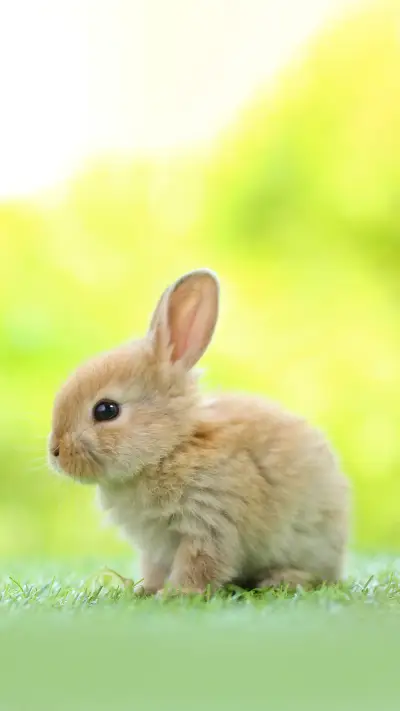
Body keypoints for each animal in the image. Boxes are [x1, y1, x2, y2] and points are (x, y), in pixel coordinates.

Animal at [49, 269, 349, 595]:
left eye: (106, 410)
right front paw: (146, 590)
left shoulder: (208, 521)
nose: (55, 453)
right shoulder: (157, 546)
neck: (170, 449)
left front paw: (176, 594)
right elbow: (155, 568)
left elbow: (199, 564)